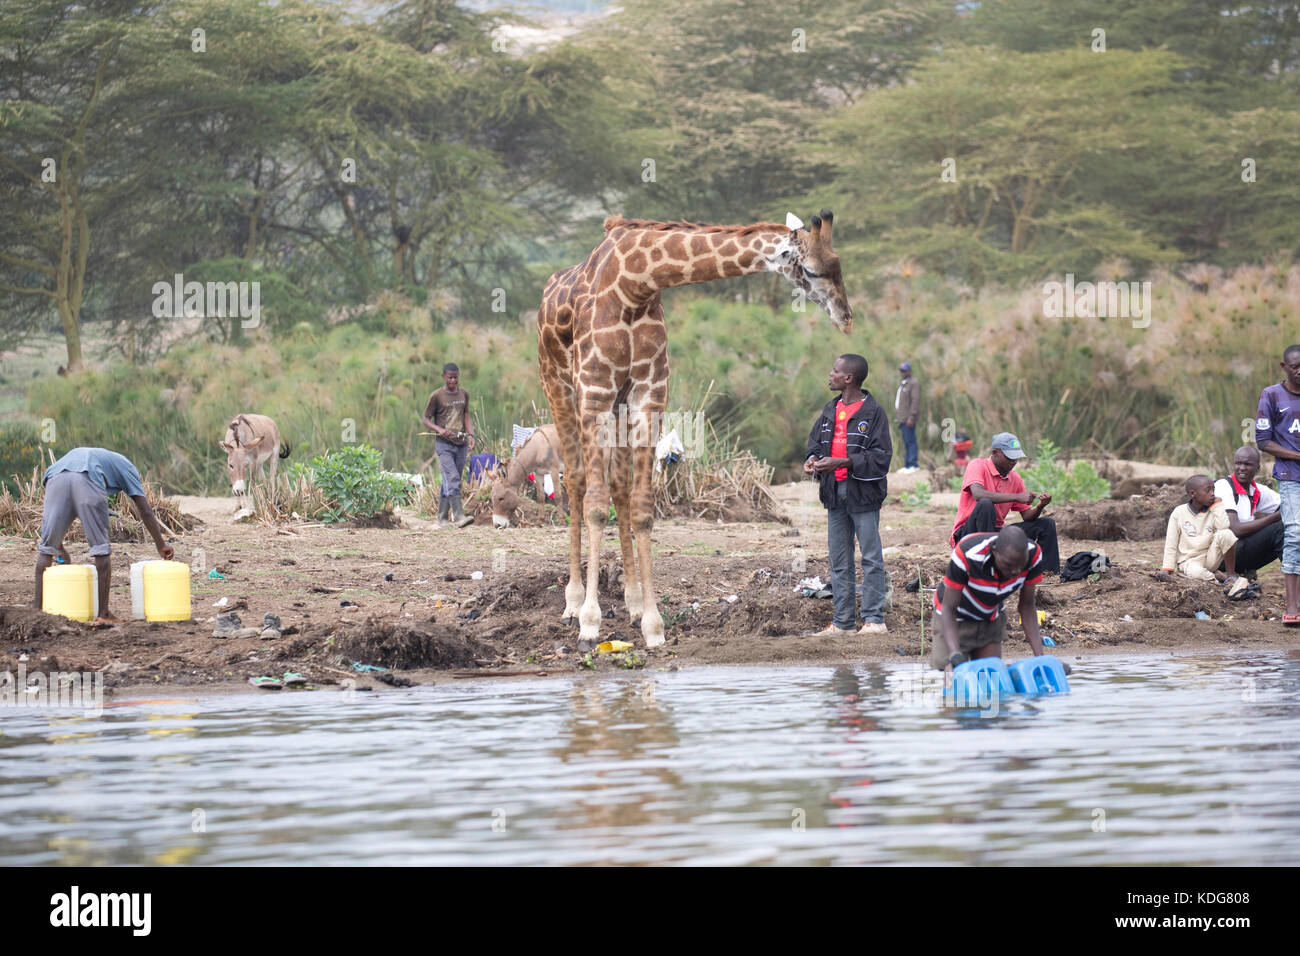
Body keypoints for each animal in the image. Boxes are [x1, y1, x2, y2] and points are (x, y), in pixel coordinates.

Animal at [538, 209, 852, 650]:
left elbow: (642, 509)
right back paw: (572, 600)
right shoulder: (594, 393)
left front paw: (652, 624)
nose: (846, 318)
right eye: (811, 269)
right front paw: (590, 621)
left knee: (618, 487)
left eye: (838, 263)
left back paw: (632, 601)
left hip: (617, 407)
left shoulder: (648, 397)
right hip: (559, 390)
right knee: (578, 482)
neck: (636, 284)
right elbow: (595, 506)